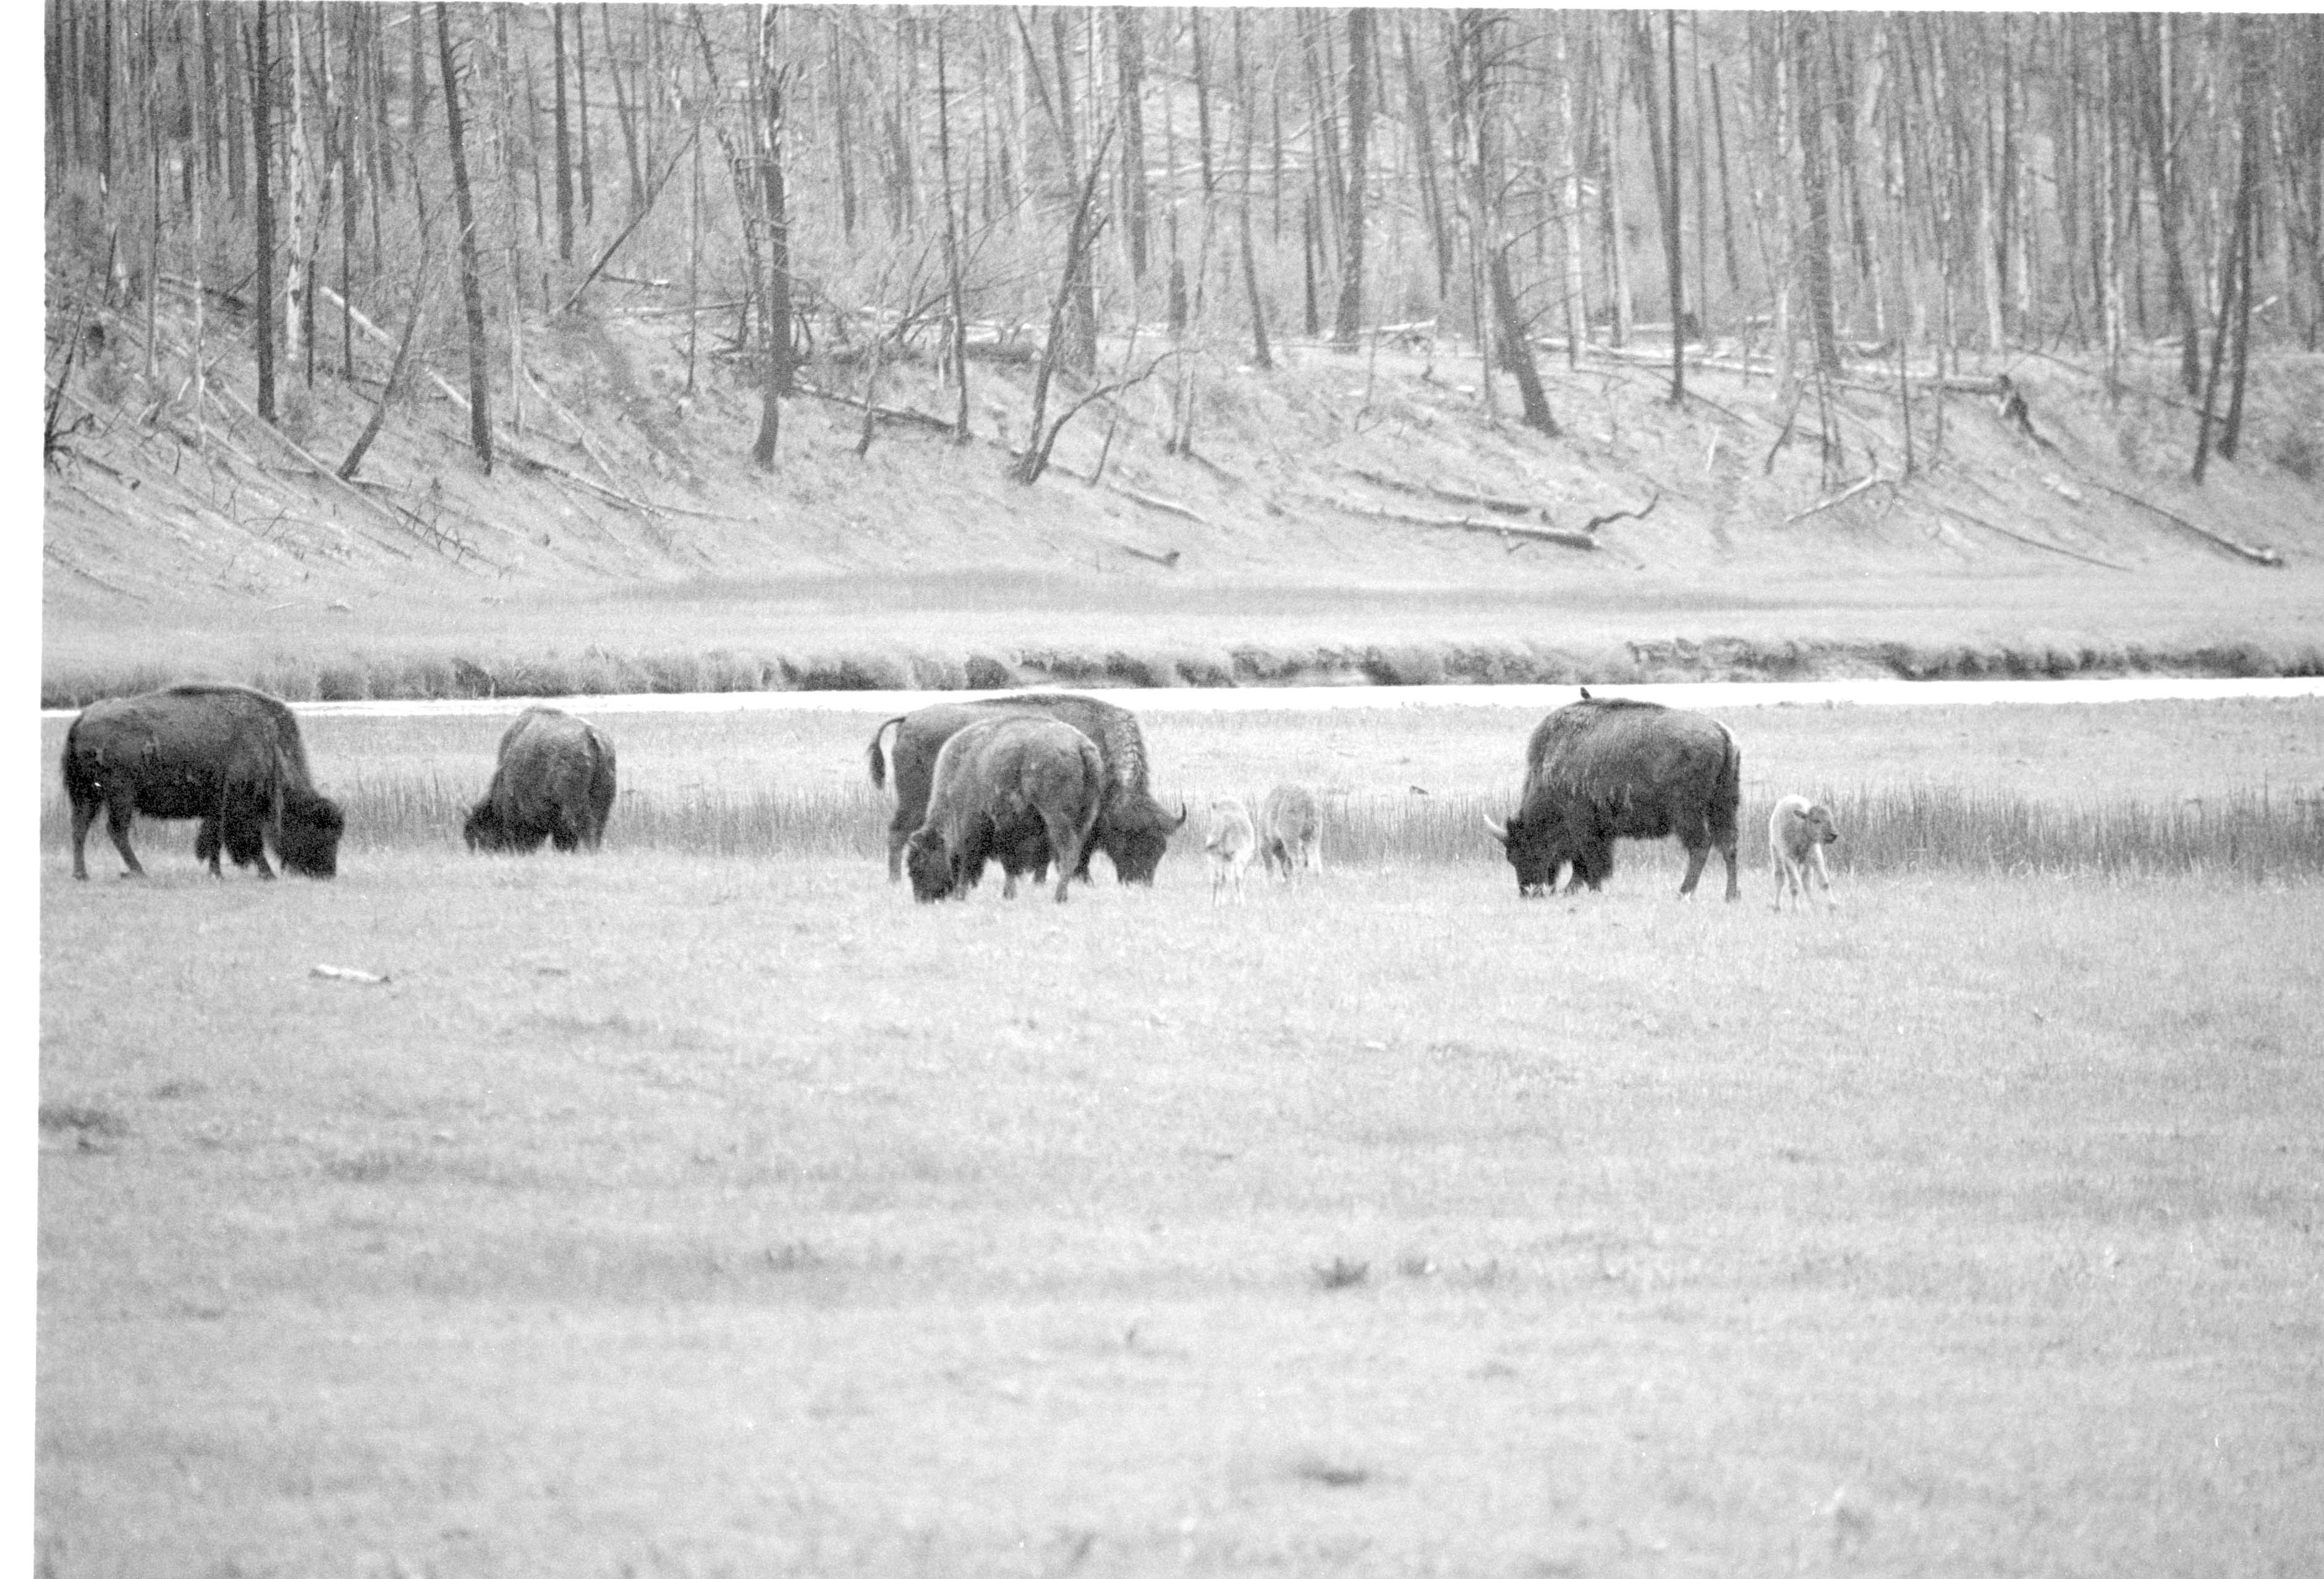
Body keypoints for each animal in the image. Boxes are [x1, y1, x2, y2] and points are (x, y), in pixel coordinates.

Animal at [63, 682, 344, 880]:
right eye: (318, 829)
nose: (327, 873)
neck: (268, 744)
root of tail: (83, 718)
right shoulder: (238, 806)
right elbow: (246, 842)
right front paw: (265, 874)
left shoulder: (216, 808)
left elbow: (214, 841)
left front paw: (216, 872)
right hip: (120, 795)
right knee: (116, 830)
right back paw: (139, 872)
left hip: (88, 794)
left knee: (79, 827)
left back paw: (82, 874)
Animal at [868, 692, 1185, 885]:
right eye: (1133, 837)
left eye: (1161, 847)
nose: (1140, 882)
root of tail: (909, 718)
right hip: (915, 801)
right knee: (898, 833)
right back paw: (895, 880)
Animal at [905, 716, 1105, 905]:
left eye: (919, 863)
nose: (923, 899)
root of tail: (1080, 746)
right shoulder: (1006, 828)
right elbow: (1009, 861)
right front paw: (1008, 894)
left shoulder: (975, 822)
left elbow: (971, 858)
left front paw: (962, 895)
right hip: (1086, 815)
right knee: (1076, 852)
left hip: (1055, 814)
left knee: (1067, 851)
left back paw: (1059, 897)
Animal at [1484, 695, 1741, 900]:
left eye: (1525, 852)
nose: (1528, 892)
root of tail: (1721, 732)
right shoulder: (1599, 830)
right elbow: (1586, 862)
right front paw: (1575, 889)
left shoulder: (1583, 824)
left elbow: (1588, 859)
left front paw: (1590, 889)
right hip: (1724, 806)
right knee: (1729, 844)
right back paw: (1731, 895)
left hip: (1687, 814)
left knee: (1701, 845)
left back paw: (1684, 892)